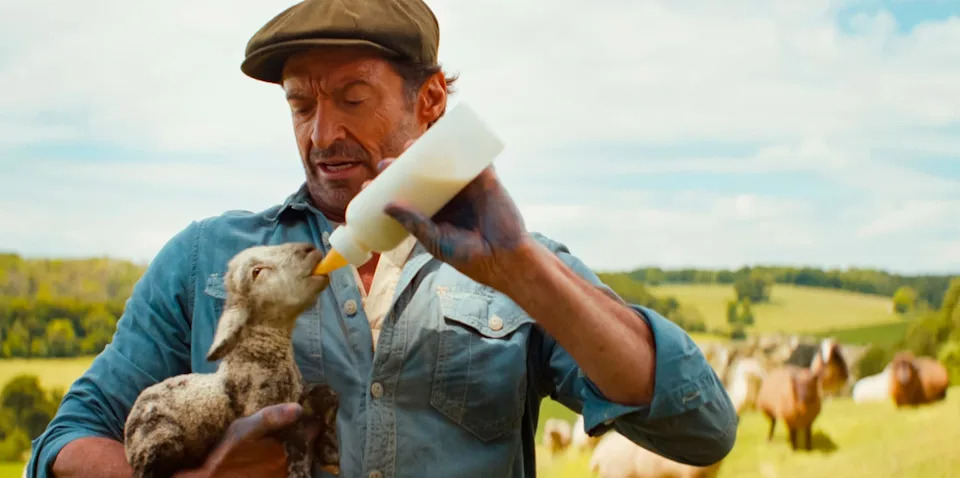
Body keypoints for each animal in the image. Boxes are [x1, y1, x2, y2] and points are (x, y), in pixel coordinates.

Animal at [123, 242, 339, 478]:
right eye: (257, 271)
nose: (309, 248)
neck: (262, 351)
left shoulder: (299, 394)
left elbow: (328, 394)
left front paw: (330, 451)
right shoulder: (264, 411)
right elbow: (296, 433)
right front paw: (301, 468)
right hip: (160, 439)